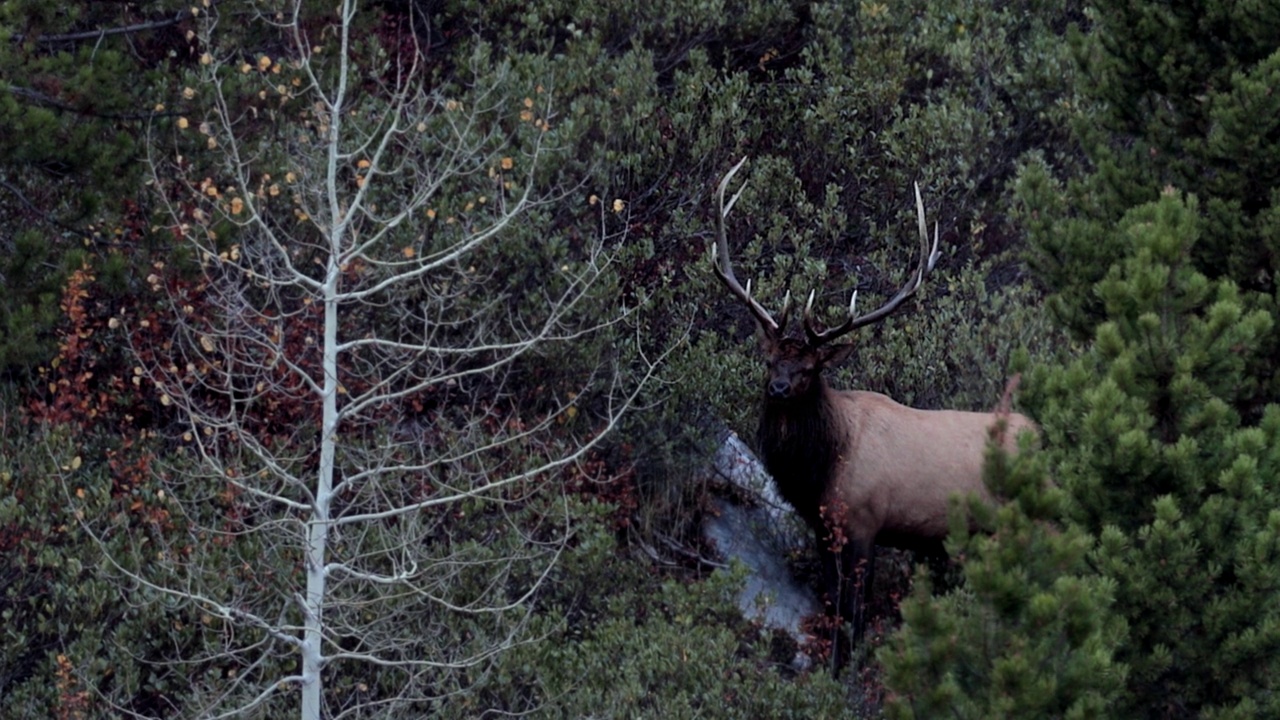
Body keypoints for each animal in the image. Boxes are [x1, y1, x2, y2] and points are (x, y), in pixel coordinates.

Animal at [711, 158, 1039, 661]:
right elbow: (832, 604)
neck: (822, 468)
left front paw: (845, 666)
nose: (779, 388)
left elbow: (856, 613)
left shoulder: (866, 523)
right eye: (769, 360)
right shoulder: (823, 527)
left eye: (810, 369)